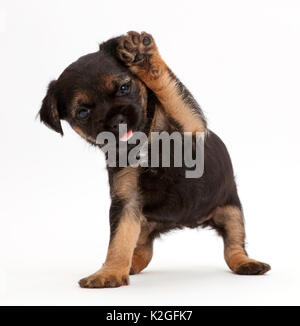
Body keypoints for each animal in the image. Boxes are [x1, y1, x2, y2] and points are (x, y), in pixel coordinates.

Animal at [38, 31, 270, 288]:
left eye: (124, 87)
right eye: (82, 113)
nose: (116, 120)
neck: (144, 143)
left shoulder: (190, 128)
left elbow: (170, 91)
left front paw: (143, 57)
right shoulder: (127, 202)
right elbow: (119, 240)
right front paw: (110, 271)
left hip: (231, 211)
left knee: (233, 245)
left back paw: (246, 263)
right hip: (144, 223)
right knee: (142, 250)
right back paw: (128, 265)